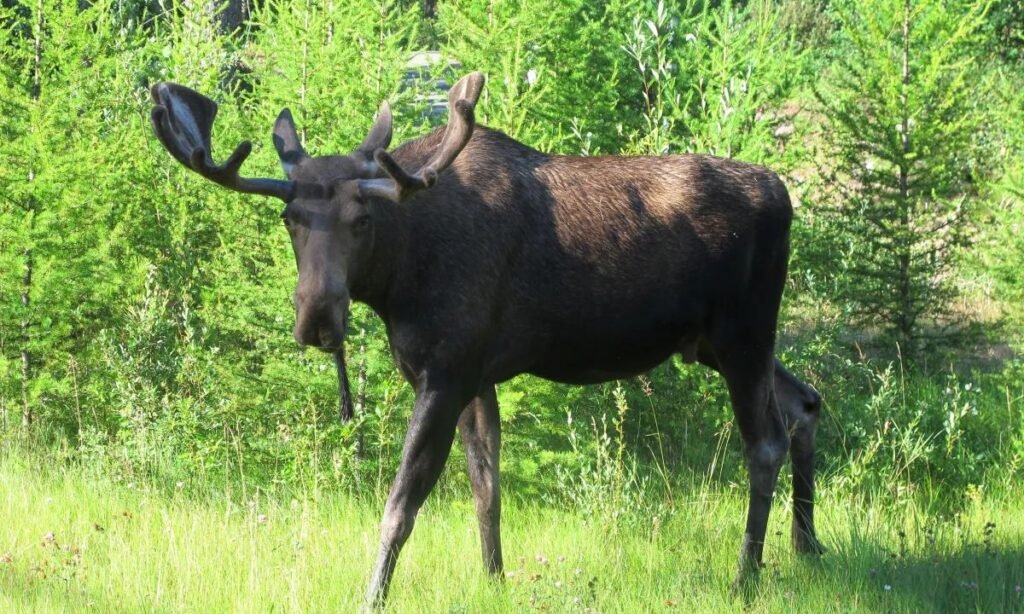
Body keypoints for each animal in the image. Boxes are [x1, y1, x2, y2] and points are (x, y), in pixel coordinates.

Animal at [150, 71, 824, 608]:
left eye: (362, 220)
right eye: (290, 218)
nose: (317, 317)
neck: (400, 274)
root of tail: (784, 193)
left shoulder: (446, 372)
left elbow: (401, 505)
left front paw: (373, 596)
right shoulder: (476, 376)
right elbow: (486, 489)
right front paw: (495, 580)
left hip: (743, 333)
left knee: (764, 441)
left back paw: (747, 575)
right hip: (716, 343)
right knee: (805, 403)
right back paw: (807, 544)